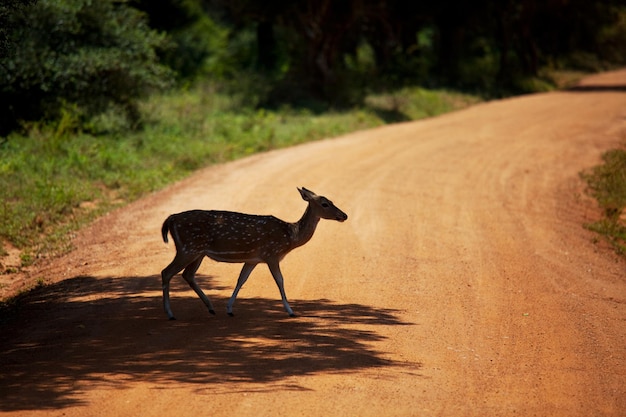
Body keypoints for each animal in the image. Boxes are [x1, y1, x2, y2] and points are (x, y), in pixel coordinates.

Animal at [158, 187, 346, 320]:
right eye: (325, 204)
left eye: (331, 200)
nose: (344, 215)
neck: (290, 236)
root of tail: (170, 219)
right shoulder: (272, 254)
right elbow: (280, 280)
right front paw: (291, 311)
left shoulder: (253, 259)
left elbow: (241, 279)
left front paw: (229, 309)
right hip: (188, 248)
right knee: (166, 272)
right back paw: (170, 314)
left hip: (197, 253)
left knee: (187, 274)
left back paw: (211, 308)